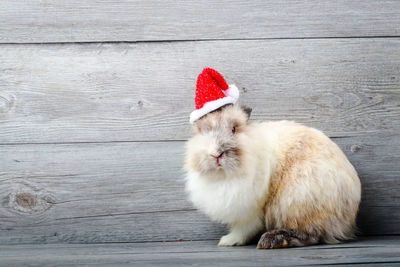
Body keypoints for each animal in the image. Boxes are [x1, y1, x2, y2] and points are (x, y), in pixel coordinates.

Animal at [184, 104, 362, 249]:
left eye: (234, 129)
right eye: (202, 132)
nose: (216, 154)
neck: (225, 175)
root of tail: (349, 217)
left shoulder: (251, 209)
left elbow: (245, 228)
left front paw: (228, 240)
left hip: (296, 201)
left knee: (311, 234)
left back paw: (273, 240)